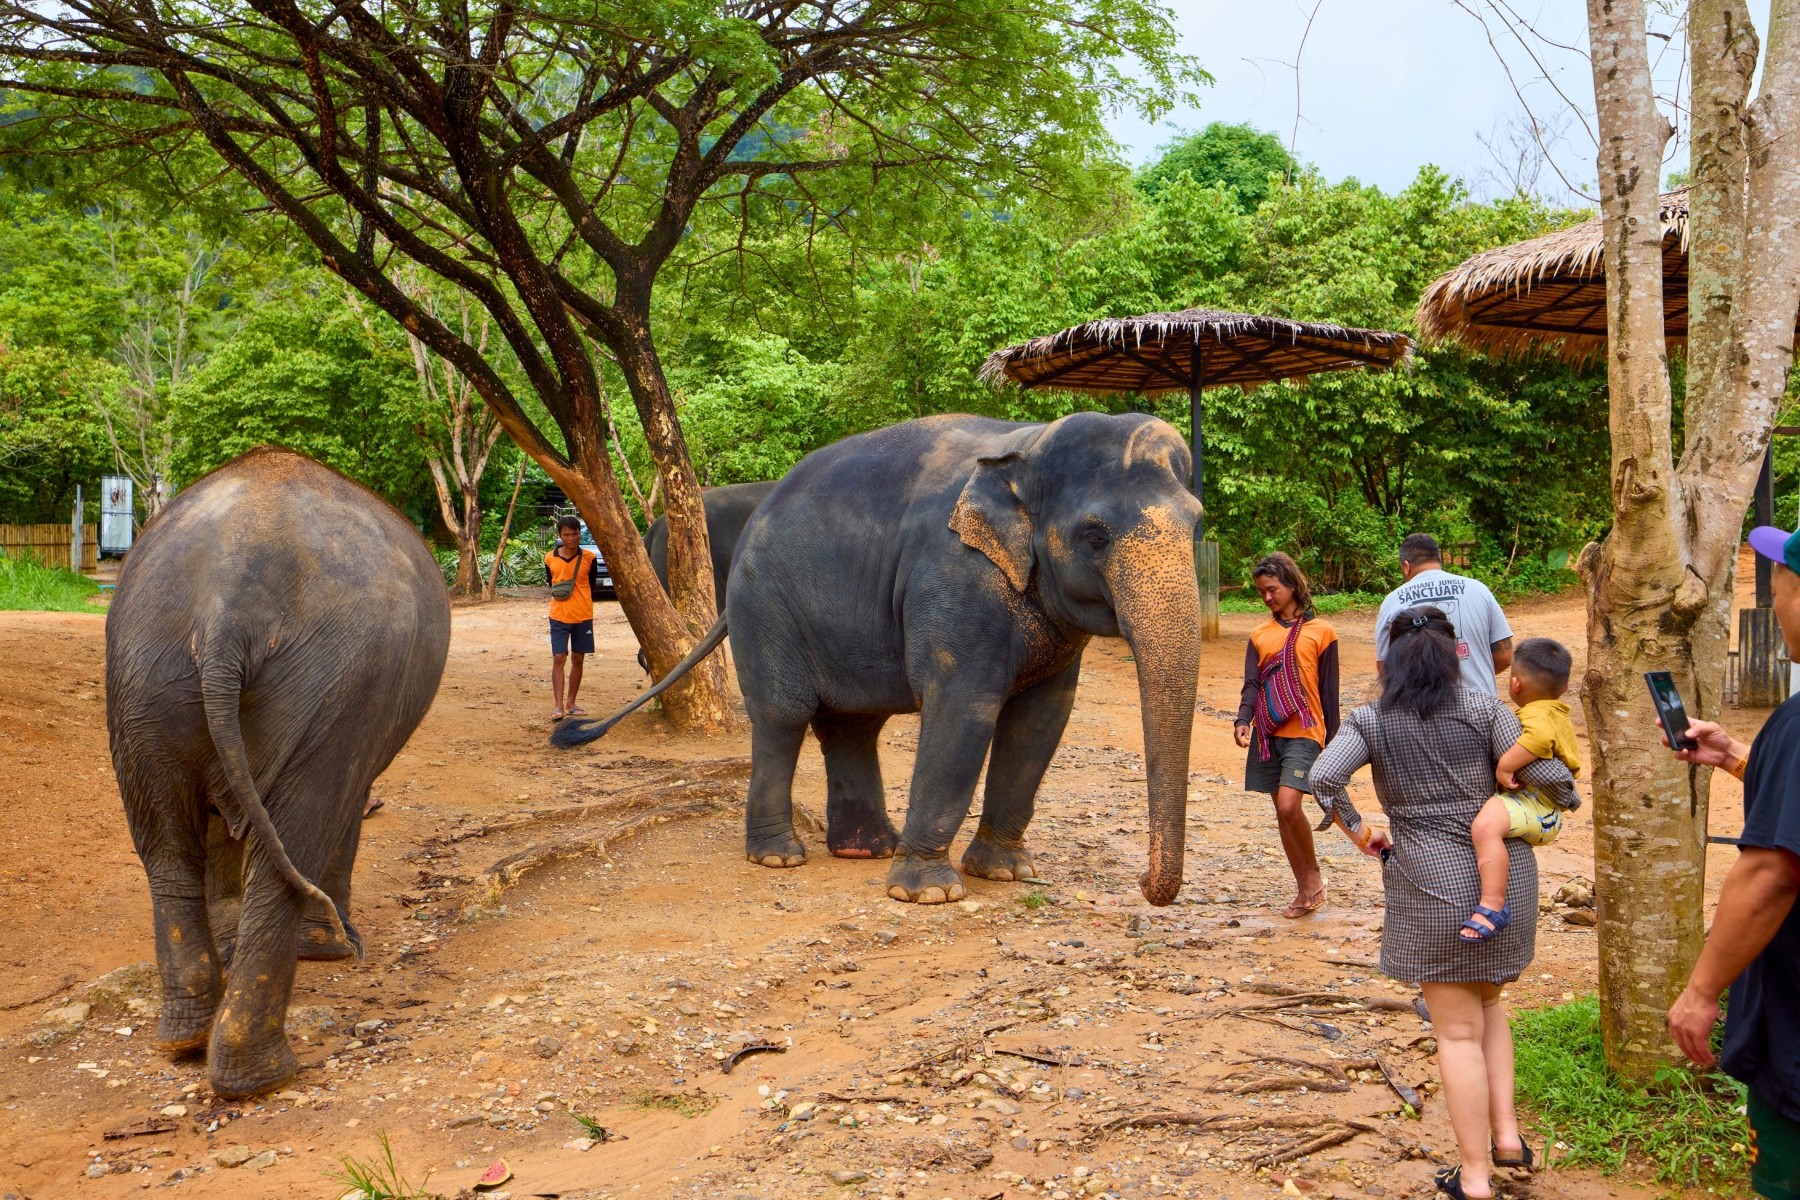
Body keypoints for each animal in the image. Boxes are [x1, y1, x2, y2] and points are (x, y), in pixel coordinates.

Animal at [105, 447, 450, 1097]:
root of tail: (226, 604)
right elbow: (342, 807)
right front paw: (330, 948)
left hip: (144, 675)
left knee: (165, 849)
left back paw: (186, 1040)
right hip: (339, 682)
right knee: (302, 829)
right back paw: (264, 1074)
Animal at [555, 412, 1202, 907]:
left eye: (1197, 525)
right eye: (1094, 535)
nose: (1145, 886)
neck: (1031, 443)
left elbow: (1041, 721)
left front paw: (1004, 873)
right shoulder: (952, 581)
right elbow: (964, 710)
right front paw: (928, 894)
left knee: (851, 726)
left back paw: (865, 850)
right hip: (765, 608)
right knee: (782, 718)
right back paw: (779, 858)